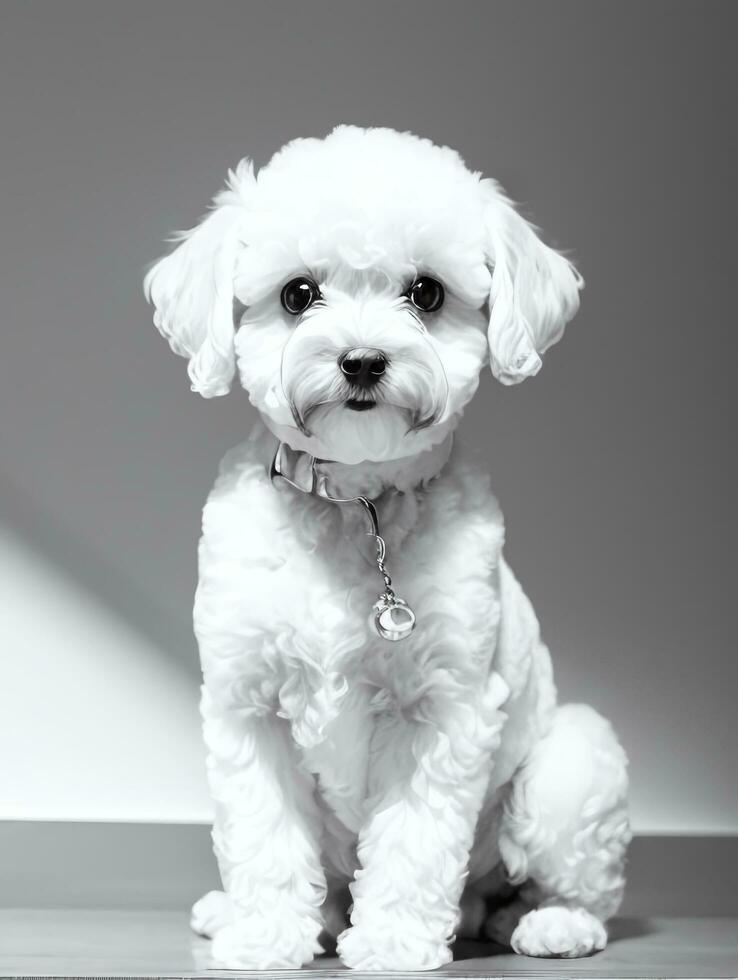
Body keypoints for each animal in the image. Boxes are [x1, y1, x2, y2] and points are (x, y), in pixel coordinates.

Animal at [144, 124, 628, 972]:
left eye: (427, 293)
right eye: (297, 294)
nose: (363, 359)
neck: (354, 506)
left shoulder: (442, 711)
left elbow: (413, 840)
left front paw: (396, 939)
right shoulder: (247, 703)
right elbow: (264, 836)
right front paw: (265, 933)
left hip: (572, 765)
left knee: (569, 887)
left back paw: (549, 922)